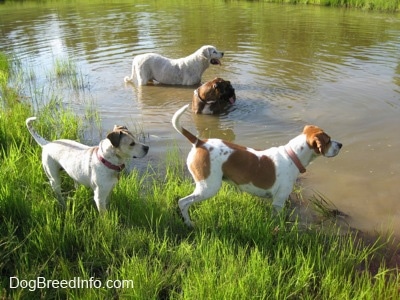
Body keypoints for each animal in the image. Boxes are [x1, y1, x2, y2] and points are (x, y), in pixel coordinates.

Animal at [170, 104, 342, 226]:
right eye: (328, 140)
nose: (340, 145)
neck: (292, 155)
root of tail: (200, 142)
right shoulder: (278, 202)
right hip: (208, 188)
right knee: (183, 202)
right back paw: (189, 223)